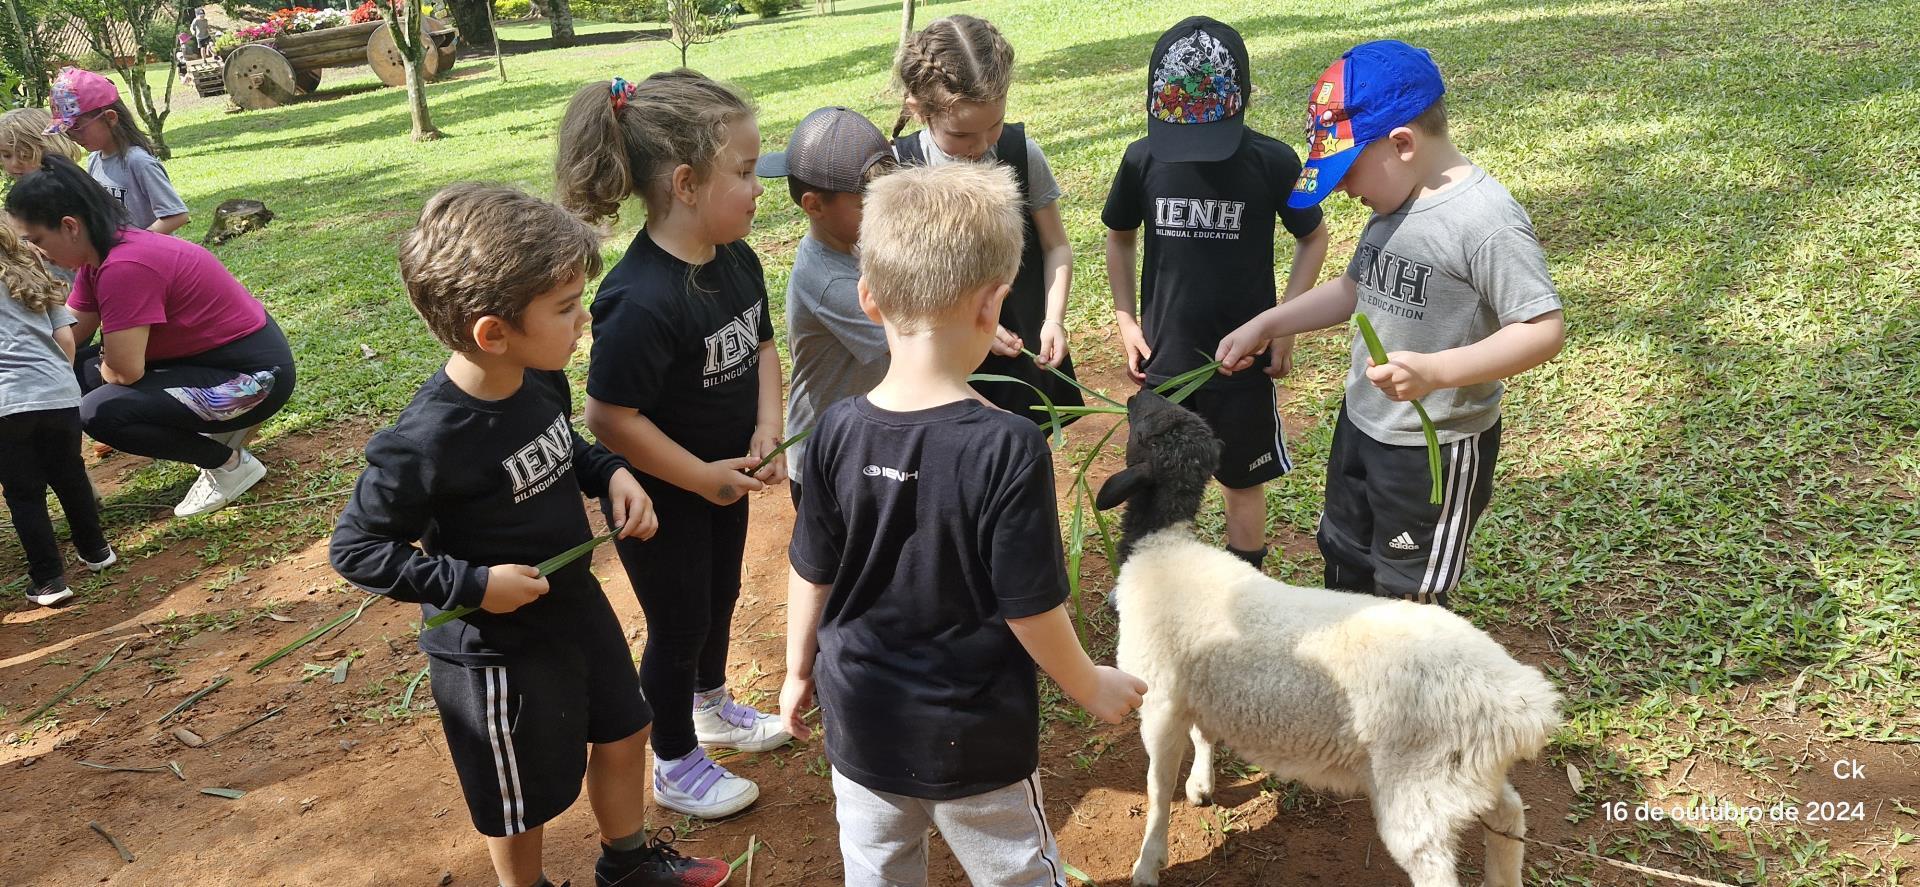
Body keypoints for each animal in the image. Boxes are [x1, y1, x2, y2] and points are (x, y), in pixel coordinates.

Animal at [1098, 393, 1559, 887]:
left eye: (1145, 431)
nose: (1136, 395)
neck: (1161, 546)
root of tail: (1521, 704)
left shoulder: (1160, 699)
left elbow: (1158, 786)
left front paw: (1148, 862)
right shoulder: (1197, 687)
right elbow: (1203, 734)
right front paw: (1202, 786)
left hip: (1420, 791)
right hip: (1465, 777)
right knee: (1509, 814)